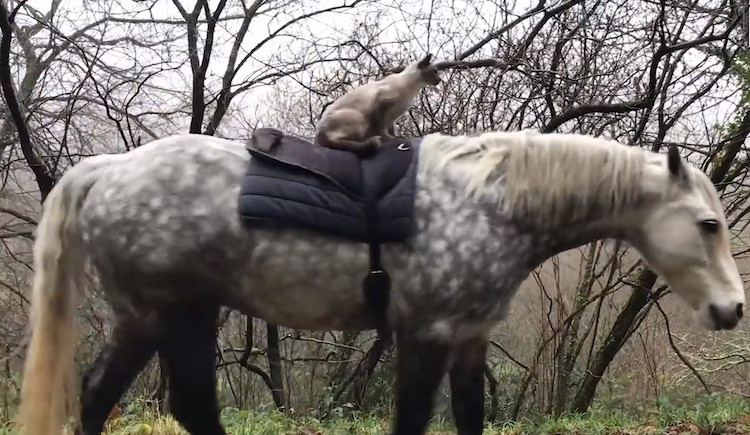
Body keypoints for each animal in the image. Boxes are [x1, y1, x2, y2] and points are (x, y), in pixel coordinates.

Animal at [316, 53, 444, 157]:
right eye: (435, 72)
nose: (440, 80)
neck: (412, 90)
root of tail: (318, 134)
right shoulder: (381, 106)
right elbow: (382, 129)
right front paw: (390, 139)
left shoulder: (393, 117)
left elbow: (392, 130)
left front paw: (398, 138)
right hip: (359, 119)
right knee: (337, 142)